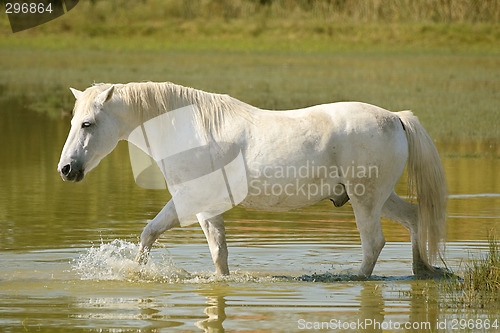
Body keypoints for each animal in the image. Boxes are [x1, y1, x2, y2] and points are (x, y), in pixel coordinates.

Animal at [56, 82, 448, 278]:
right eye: (73, 121)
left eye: (88, 123)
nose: (66, 169)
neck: (190, 131)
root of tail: (395, 118)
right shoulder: (199, 206)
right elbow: (173, 241)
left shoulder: (196, 205)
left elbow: (190, 244)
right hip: (377, 198)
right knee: (415, 218)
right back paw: (422, 271)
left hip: (366, 201)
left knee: (373, 244)